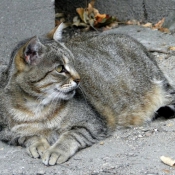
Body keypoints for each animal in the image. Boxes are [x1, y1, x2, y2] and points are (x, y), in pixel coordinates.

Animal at [0, 23, 174, 166]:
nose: (79, 79)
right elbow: (28, 136)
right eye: (60, 69)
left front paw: (55, 150)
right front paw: (38, 144)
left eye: (73, 62)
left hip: (161, 87)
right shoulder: (6, 132)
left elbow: (70, 136)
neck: (38, 107)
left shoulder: (91, 123)